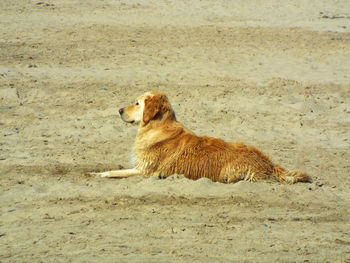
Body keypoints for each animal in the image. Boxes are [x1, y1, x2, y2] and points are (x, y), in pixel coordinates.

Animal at [89, 92, 310, 185]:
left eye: (137, 103)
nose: (119, 110)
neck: (157, 127)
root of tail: (269, 163)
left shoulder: (144, 170)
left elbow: (113, 173)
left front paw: (96, 174)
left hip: (230, 171)